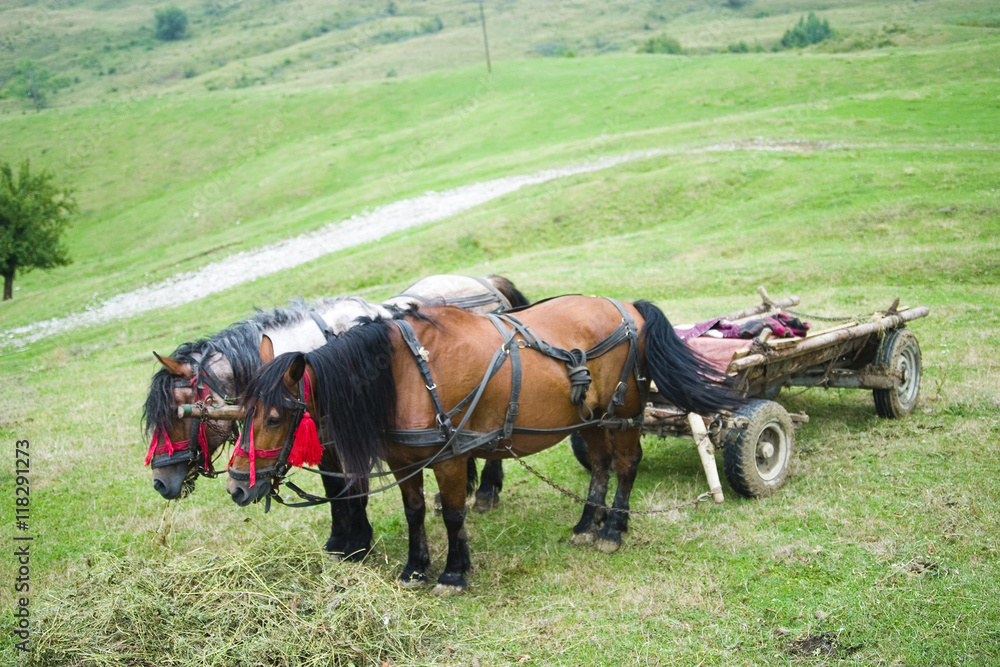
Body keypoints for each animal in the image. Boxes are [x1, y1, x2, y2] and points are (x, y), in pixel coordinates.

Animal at [142, 275, 529, 558]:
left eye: (178, 409)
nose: (160, 482)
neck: (313, 357)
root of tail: (486, 281)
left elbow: (351, 489)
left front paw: (357, 543)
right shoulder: (324, 444)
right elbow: (334, 489)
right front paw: (339, 540)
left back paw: (487, 491)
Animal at [228, 295, 740, 594]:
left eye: (275, 417)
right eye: (238, 415)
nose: (236, 486)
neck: (405, 375)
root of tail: (626, 307)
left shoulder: (450, 459)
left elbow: (454, 513)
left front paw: (454, 571)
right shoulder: (403, 462)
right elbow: (415, 512)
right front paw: (415, 568)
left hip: (623, 410)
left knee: (627, 464)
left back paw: (613, 528)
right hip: (592, 418)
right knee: (599, 464)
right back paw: (585, 523)